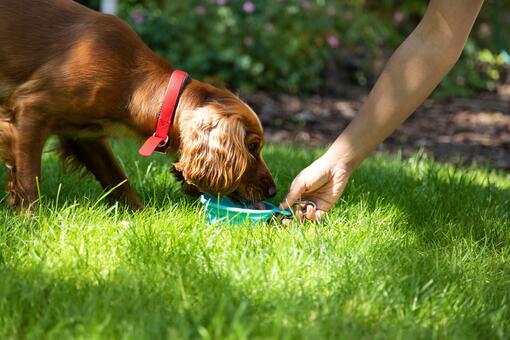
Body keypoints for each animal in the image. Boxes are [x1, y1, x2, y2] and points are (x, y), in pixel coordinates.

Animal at [0, 0, 274, 209]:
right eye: (251, 146)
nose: (273, 191)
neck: (132, 82)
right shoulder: (30, 110)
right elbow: (28, 179)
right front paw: (31, 221)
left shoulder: (84, 134)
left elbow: (117, 178)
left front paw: (138, 215)